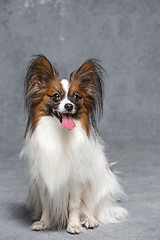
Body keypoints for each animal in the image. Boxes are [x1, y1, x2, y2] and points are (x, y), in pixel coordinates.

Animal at [21, 54, 128, 234]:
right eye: (56, 96)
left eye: (76, 97)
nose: (69, 106)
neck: (60, 132)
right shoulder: (44, 181)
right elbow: (47, 205)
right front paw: (44, 222)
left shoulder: (77, 180)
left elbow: (74, 205)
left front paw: (74, 225)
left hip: (99, 187)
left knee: (91, 208)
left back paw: (90, 220)